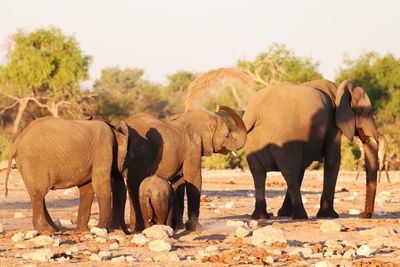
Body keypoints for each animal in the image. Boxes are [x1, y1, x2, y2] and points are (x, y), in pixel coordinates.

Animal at [110, 106, 247, 232]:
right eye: (227, 135)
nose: (218, 107)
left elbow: (179, 182)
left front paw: (179, 228)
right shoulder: (193, 147)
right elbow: (194, 178)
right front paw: (196, 229)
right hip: (142, 152)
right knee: (135, 184)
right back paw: (139, 228)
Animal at [244, 79, 378, 220]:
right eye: (367, 112)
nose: (364, 216)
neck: (338, 88)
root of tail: (253, 113)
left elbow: (302, 169)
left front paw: (284, 214)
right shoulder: (332, 125)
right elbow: (333, 160)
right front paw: (329, 216)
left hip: (253, 141)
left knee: (259, 173)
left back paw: (260, 216)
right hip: (284, 139)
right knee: (289, 171)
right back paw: (301, 216)